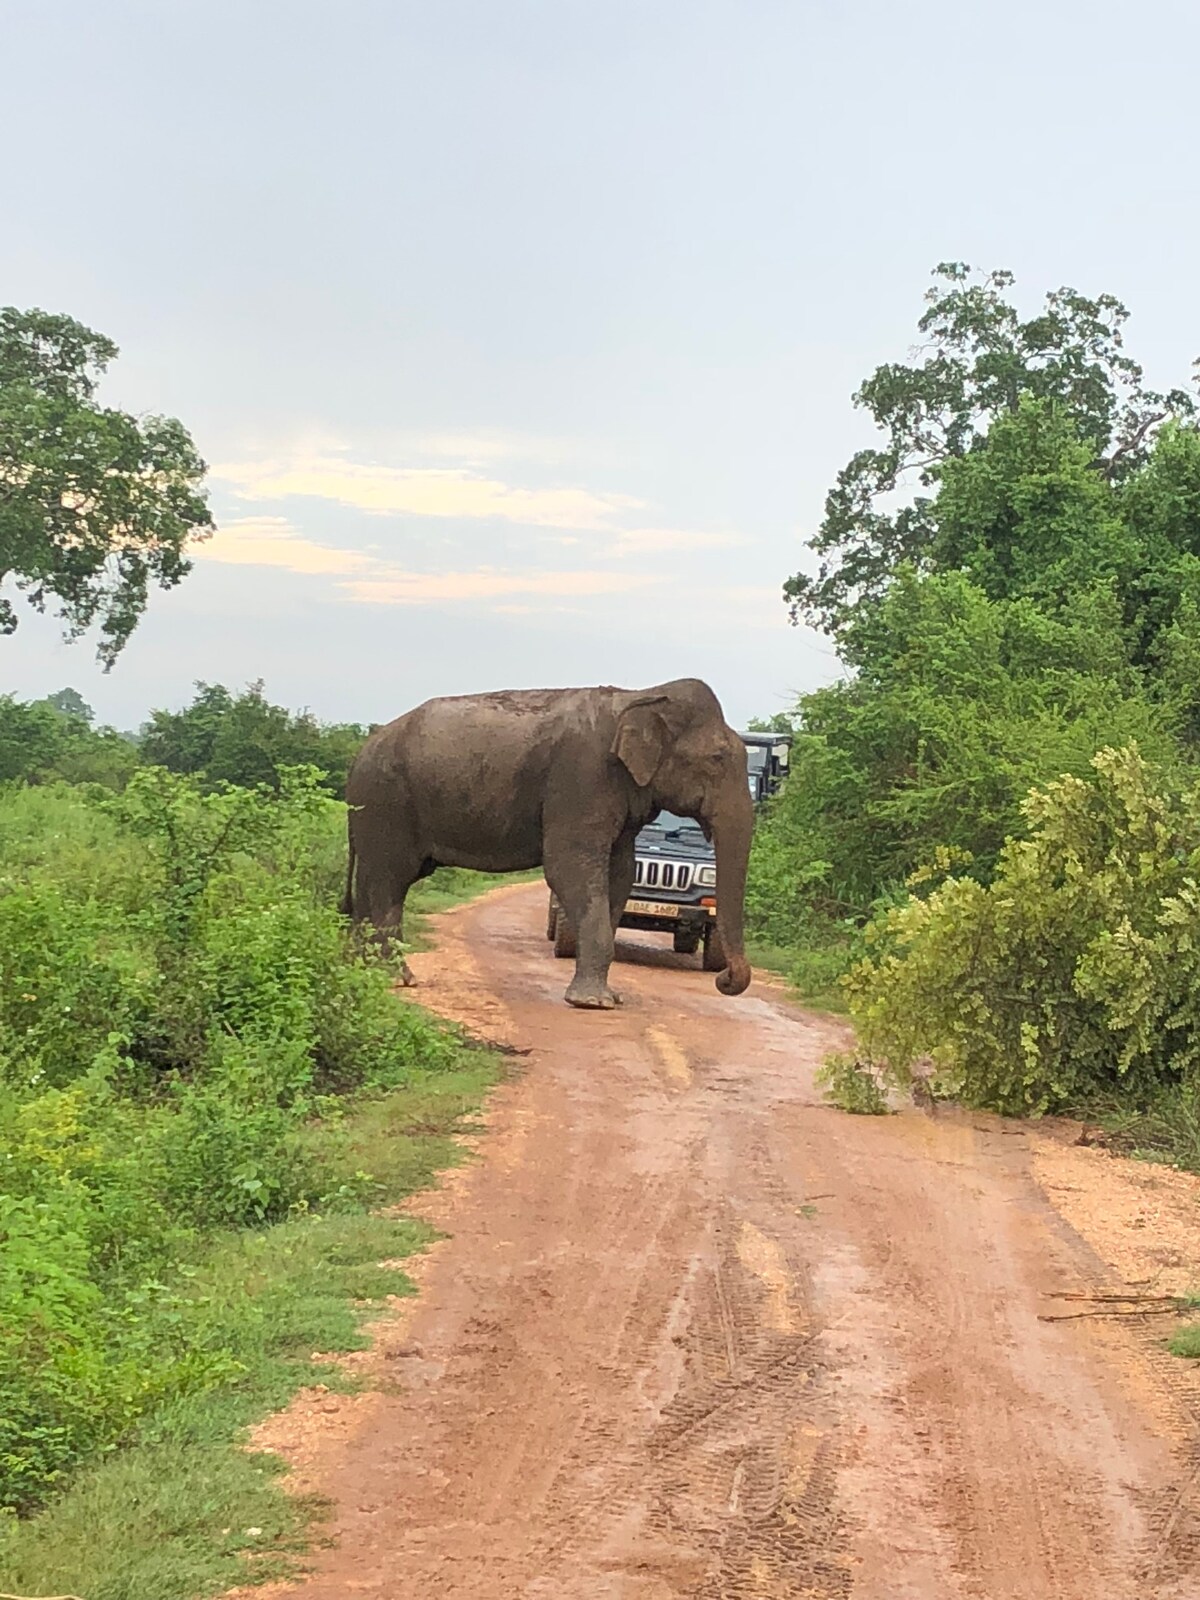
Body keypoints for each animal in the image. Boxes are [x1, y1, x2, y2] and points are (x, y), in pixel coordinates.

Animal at [340, 678, 752, 1004]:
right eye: (717, 758)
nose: (723, 980)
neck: (642, 695)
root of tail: (358, 756)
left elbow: (619, 875)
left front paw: (608, 998)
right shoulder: (582, 779)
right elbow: (569, 868)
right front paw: (593, 1003)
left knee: (374, 883)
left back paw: (362, 972)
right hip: (385, 803)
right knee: (389, 883)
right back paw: (396, 978)